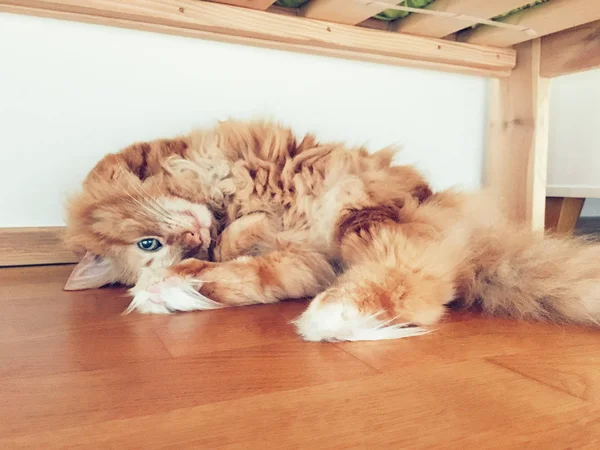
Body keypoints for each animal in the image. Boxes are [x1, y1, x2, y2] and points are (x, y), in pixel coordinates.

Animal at [63, 118, 600, 342]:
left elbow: (238, 226)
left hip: (358, 217)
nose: (191, 243)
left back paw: (332, 317)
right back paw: (170, 291)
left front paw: (235, 227)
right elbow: (244, 254)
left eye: (148, 242)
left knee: (409, 284)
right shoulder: (298, 258)